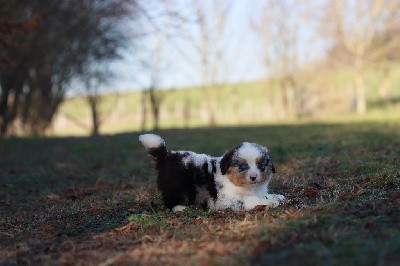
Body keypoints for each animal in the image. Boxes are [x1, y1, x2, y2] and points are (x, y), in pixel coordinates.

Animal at [139, 133, 282, 212]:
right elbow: (251, 200)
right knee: (170, 200)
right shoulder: (227, 199)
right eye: (242, 166)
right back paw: (180, 208)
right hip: (175, 186)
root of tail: (166, 156)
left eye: (260, 165)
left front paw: (276, 197)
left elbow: (264, 195)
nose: (253, 177)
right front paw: (269, 202)